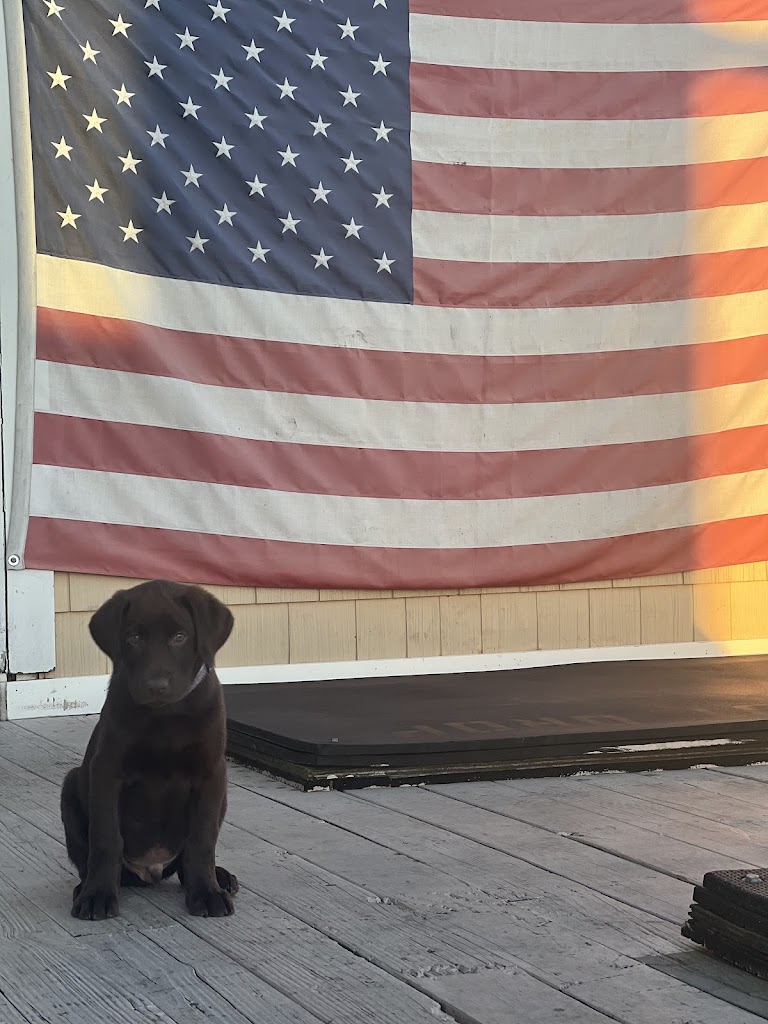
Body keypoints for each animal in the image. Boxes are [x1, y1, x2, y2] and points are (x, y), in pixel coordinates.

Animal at [60, 579, 239, 921]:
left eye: (180, 637)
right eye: (134, 638)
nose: (156, 686)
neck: (165, 715)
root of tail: (150, 870)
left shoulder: (211, 773)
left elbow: (202, 840)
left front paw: (206, 892)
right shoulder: (107, 771)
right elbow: (106, 839)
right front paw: (97, 895)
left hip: (222, 799)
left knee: (186, 860)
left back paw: (219, 877)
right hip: (71, 786)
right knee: (89, 859)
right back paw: (86, 886)